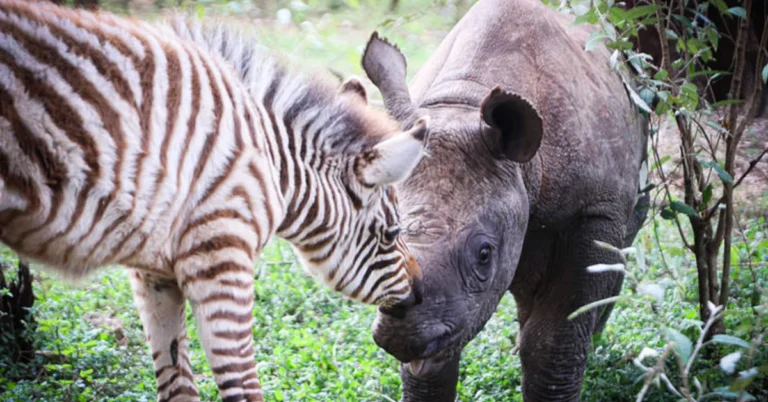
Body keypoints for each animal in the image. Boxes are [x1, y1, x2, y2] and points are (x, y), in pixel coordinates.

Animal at [0, 1, 430, 401]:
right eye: (391, 234)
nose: (422, 293)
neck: (268, 161)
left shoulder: (153, 272)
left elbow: (177, 384)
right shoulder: (221, 256)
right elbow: (243, 387)